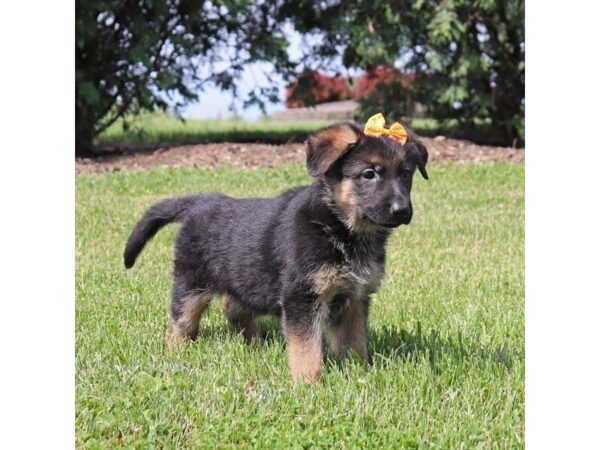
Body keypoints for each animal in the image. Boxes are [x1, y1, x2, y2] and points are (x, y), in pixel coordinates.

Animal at [123, 122, 426, 384]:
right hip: (190, 282)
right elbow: (306, 348)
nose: (402, 211)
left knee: (233, 308)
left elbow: (354, 340)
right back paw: (176, 353)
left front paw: (359, 370)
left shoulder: (355, 297)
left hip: (245, 277)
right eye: (369, 174)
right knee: (182, 322)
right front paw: (308, 383)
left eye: (406, 173)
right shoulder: (302, 298)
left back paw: (254, 343)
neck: (339, 226)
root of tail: (202, 202)